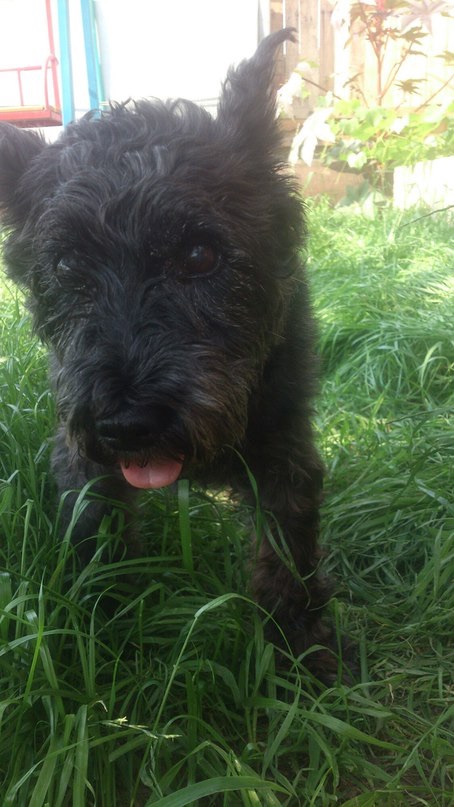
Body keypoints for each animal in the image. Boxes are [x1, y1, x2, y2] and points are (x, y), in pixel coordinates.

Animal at [0, 29, 344, 680]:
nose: (127, 424)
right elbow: (95, 535)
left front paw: (298, 652)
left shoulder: (286, 449)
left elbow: (288, 552)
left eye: (200, 255)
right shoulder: (82, 456)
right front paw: (102, 634)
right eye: (66, 264)